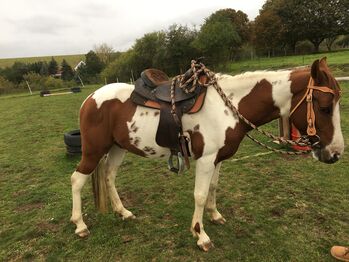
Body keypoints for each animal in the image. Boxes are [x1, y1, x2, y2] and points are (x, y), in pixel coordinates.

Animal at [70, 58, 342, 251]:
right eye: (324, 107)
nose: (335, 154)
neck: (229, 107)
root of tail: (90, 98)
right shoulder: (206, 160)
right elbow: (199, 195)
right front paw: (201, 235)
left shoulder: (218, 159)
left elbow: (213, 188)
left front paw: (215, 215)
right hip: (94, 150)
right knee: (77, 179)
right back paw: (80, 225)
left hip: (117, 148)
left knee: (109, 176)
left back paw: (123, 212)